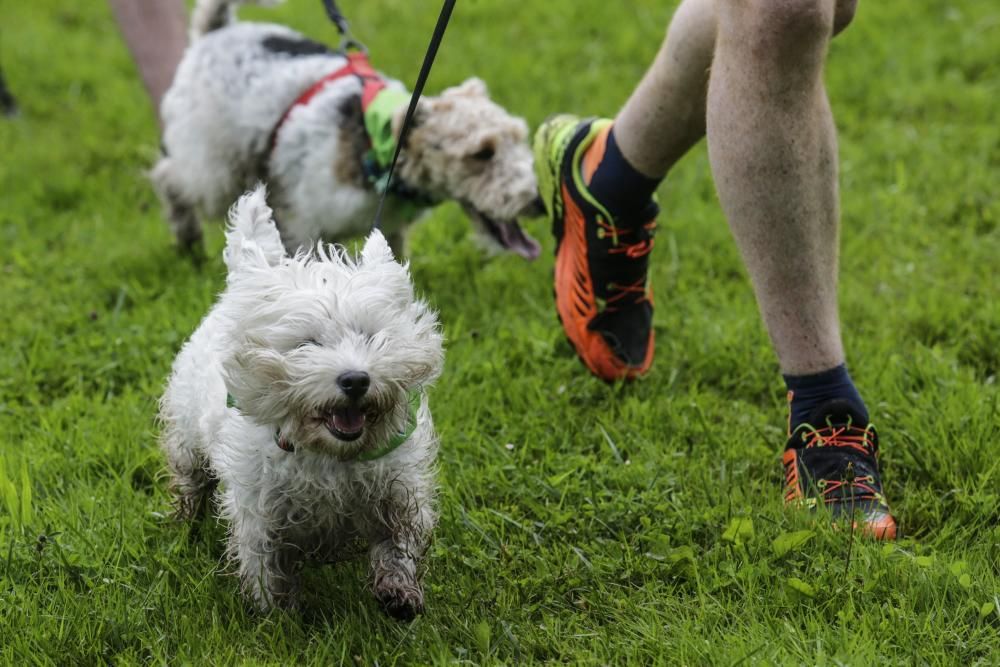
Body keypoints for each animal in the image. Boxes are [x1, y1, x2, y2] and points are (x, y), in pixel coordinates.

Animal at [153, 0, 544, 258]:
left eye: (519, 138)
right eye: (481, 153)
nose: (538, 203)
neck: (379, 145)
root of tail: (217, 31)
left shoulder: (389, 230)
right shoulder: (301, 225)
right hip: (214, 170)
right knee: (169, 179)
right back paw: (188, 242)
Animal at [161, 185, 446, 620]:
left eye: (370, 336)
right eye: (306, 344)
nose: (356, 380)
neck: (329, 456)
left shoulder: (396, 490)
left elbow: (397, 541)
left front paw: (398, 592)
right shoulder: (260, 512)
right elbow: (267, 567)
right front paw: (279, 620)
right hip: (187, 436)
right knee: (191, 479)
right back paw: (185, 520)